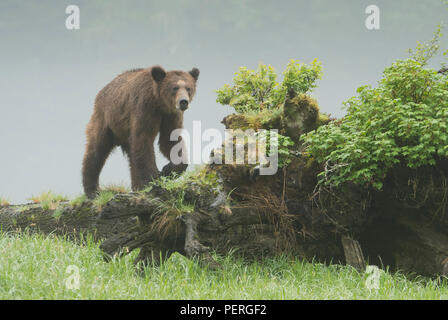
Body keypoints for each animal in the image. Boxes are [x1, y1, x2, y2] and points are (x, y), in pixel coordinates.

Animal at [81, 65, 200, 198]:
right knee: (96, 150)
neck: (160, 103)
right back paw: (93, 191)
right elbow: (144, 139)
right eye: (175, 88)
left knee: (132, 156)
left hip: (125, 133)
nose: (183, 101)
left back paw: (137, 187)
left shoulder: (171, 116)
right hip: (107, 120)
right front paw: (153, 178)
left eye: (188, 88)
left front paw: (167, 170)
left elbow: (170, 141)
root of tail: (101, 91)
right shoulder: (144, 109)